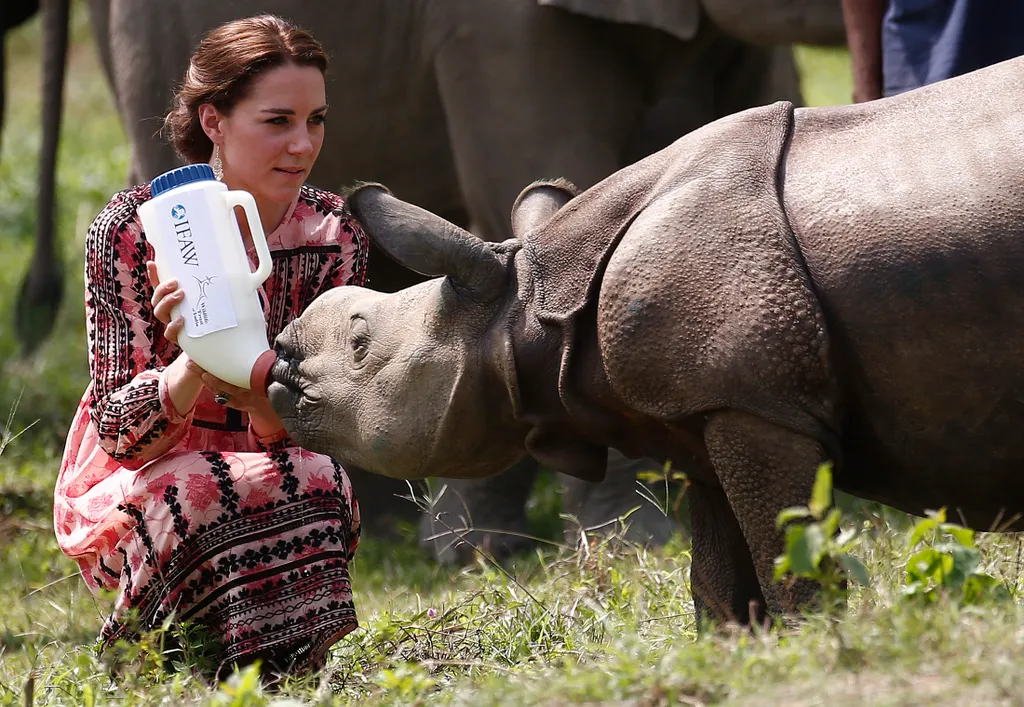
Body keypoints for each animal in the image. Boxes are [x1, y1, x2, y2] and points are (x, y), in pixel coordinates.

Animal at [264, 55, 1024, 627]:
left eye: (360, 343)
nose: (280, 358)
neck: (528, 307)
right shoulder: (709, 402)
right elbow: (717, 563)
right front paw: (738, 648)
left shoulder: (756, 400)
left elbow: (787, 541)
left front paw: (817, 635)